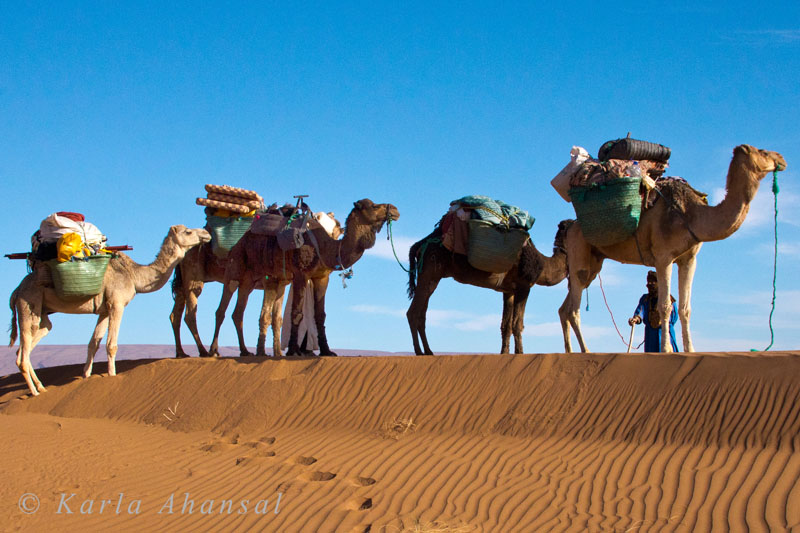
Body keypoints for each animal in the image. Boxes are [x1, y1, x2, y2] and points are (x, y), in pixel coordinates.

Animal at [9, 224, 209, 394]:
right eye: (188, 232)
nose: (206, 234)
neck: (133, 275)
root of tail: (16, 291)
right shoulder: (117, 304)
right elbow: (111, 344)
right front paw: (112, 375)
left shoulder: (104, 310)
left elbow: (93, 343)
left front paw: (86, 375)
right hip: (28, 305)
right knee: (22, 354)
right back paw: (34, 392)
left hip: (42, 315)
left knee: (27, 347)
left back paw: (41, 387)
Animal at [172, 209, 340, 358]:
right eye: (316, 223)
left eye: (335, 229)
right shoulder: (270, 280)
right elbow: (266, 315)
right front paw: (266, 352)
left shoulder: (282, 282)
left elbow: (276, 318)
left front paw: (277, 353)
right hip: (203, 276)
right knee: (204, 312)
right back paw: (208, 351)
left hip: (199, 281)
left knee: (179, 314)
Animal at [206, 200, 400, 358]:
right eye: (373, 206)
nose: (395, 210)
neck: (326, 247)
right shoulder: (301, 274)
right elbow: (297, 312)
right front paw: (293, 350)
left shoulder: (321, 277)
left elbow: (320, 314)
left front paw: (326, 351)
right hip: (235, 268)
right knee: (222, 309)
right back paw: (214, 351)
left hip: (254, 279)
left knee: (239, 312)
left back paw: (248, 351)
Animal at [406, 216, 576, 354]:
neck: (543, 266)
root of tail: (419, 245)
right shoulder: (524, 286)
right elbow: (517, 323)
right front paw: (520, 353)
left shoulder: (509, 290)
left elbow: (506, 325)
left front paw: (504, 353)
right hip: (430, 270)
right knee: (412, 312)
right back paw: (420, 352)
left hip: (432, 277)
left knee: (422, 313)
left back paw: (428, 352)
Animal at [564, 145, 788, 354]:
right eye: (763, 151)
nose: (782, 159)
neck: (691, 215)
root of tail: (570, 227)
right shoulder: (663, 257)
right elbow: (664, 304)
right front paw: (666, 349)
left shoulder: (689, 258)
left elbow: (685, 307)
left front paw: (690, 350)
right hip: (578, 251)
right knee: (574, 308)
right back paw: (585, 350)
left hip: (595, 262)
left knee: (566, 307)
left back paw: (571, 351)